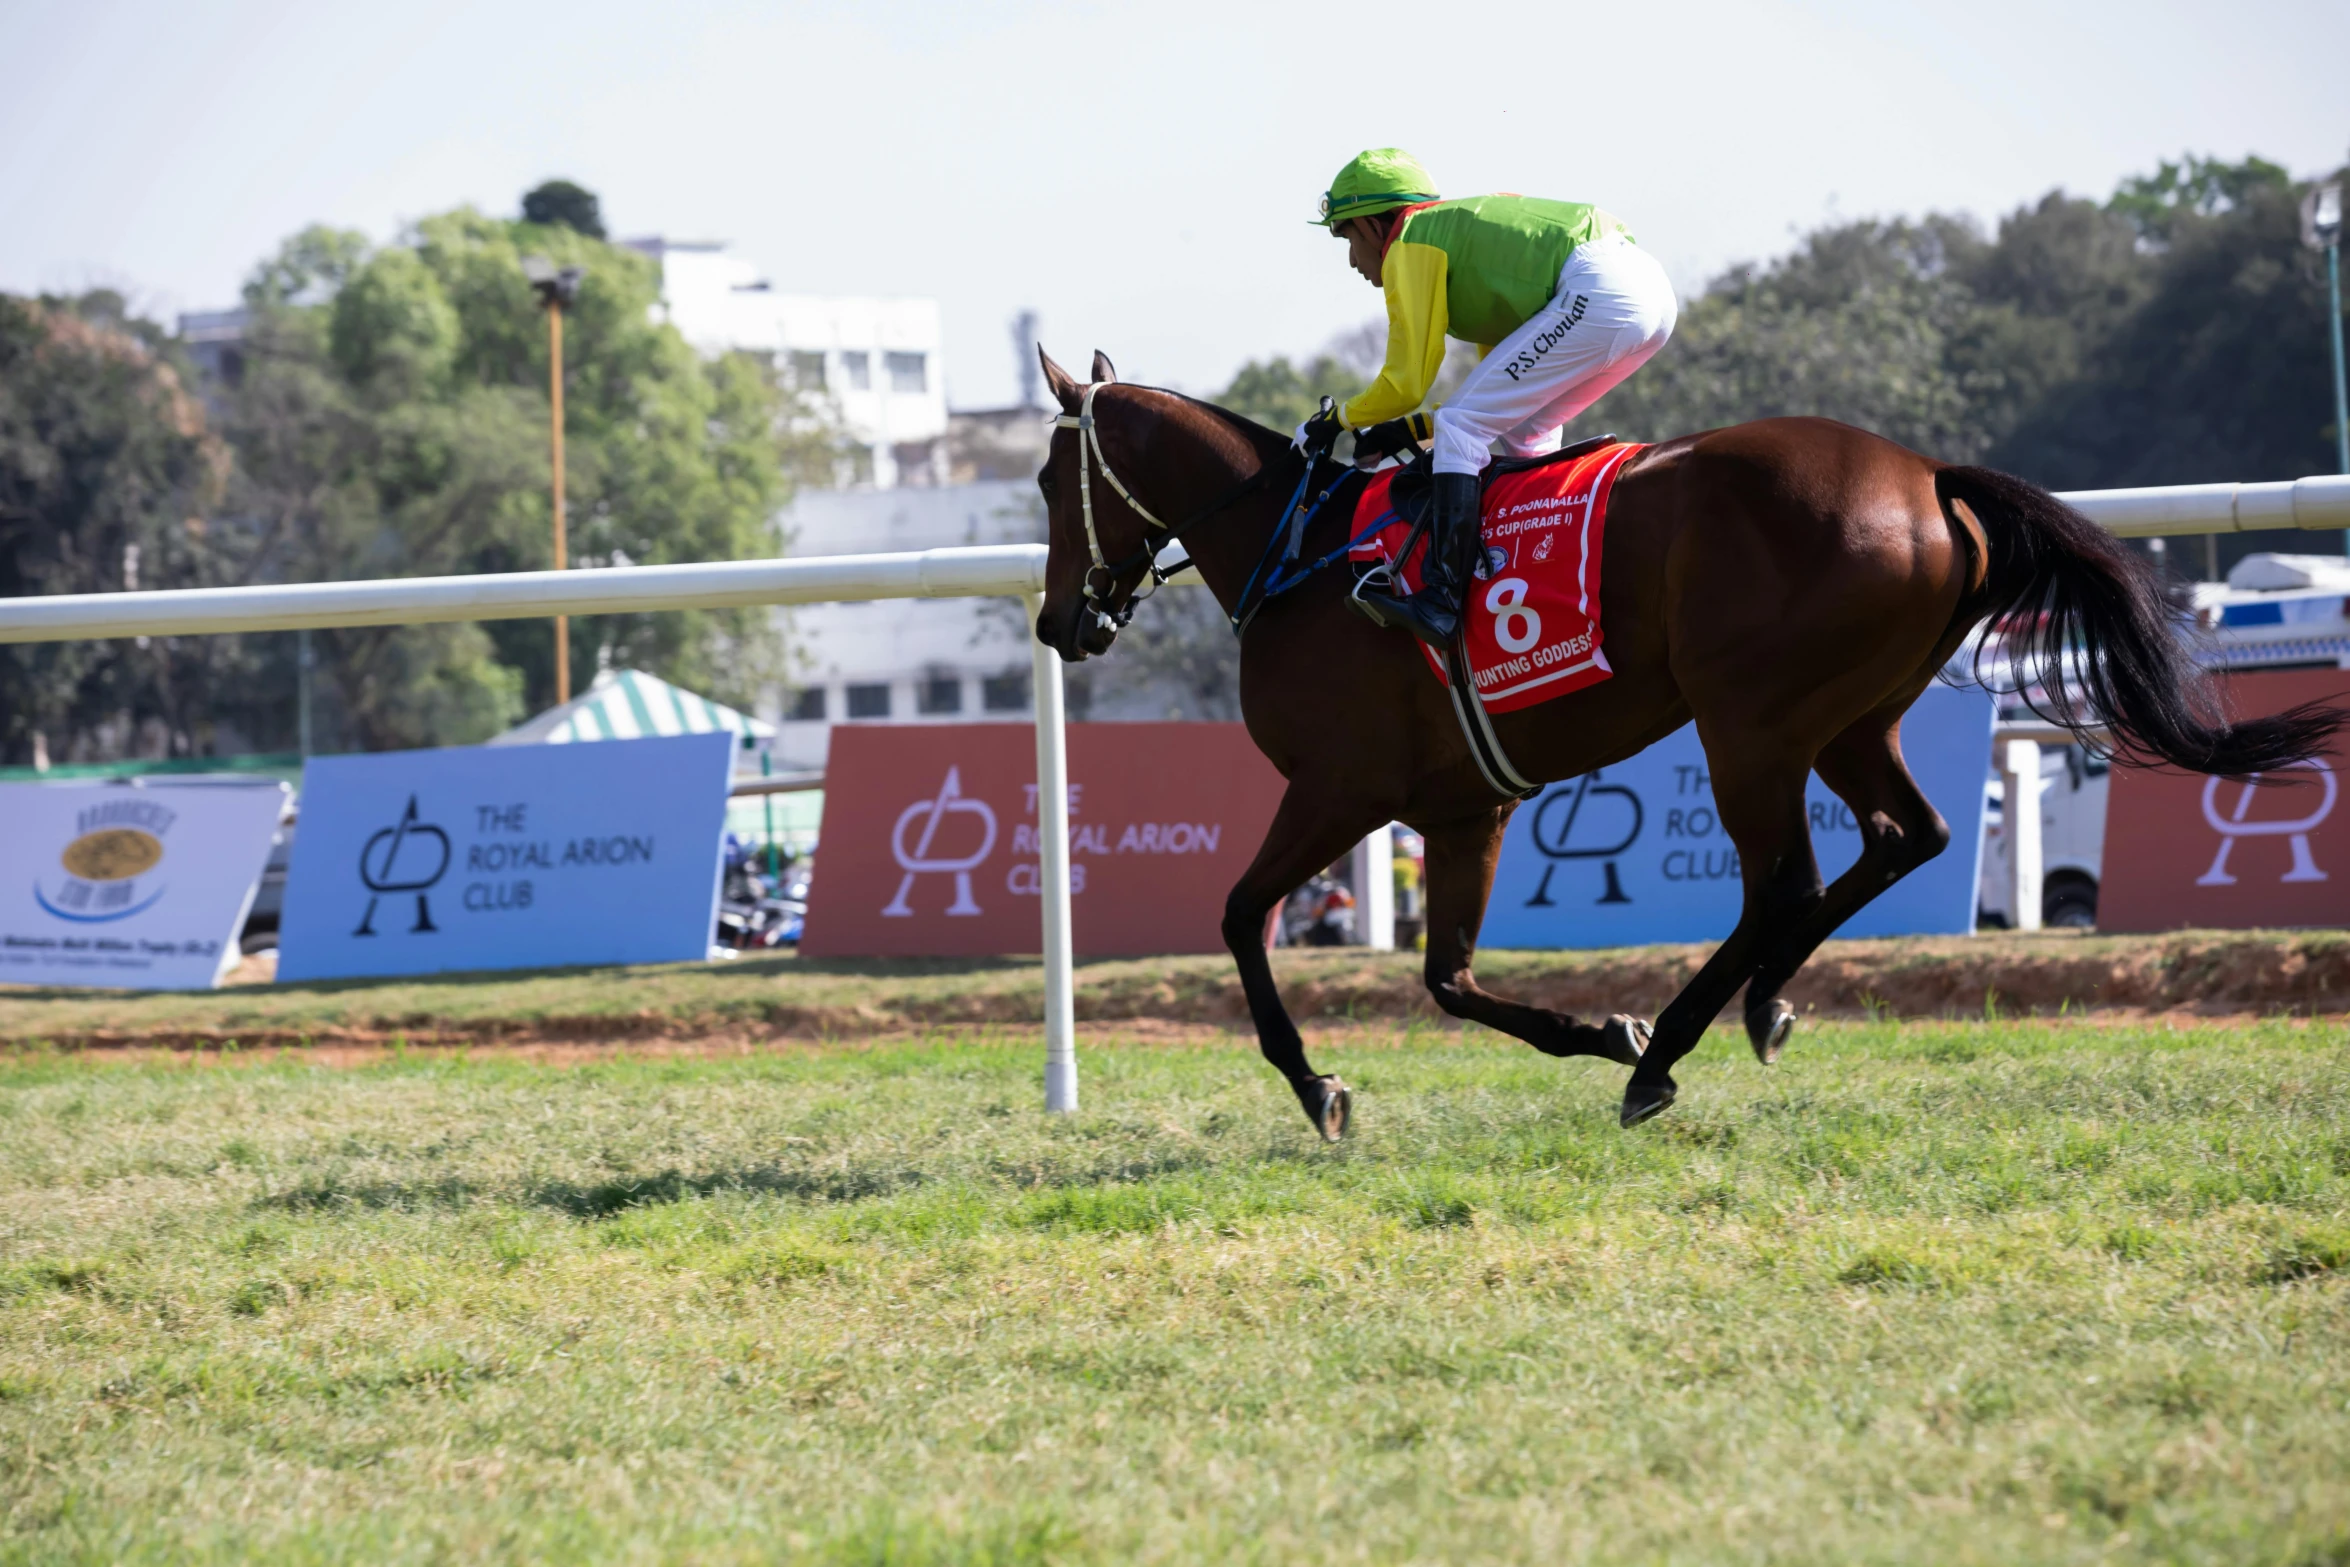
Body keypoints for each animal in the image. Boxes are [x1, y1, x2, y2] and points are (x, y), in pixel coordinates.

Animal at [1029, 350, 2331, 1141]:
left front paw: (1319, 1086)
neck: (1297, 551)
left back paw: (1674, 1047)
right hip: (1848, 714)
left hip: (1747, 718)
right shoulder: (1462, 806)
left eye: (1047, 478)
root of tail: (1924, 477)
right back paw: (1749, 1008)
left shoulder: (1339, 787)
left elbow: (1243, 917)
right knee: (1904, 836)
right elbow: (1448, 979)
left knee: (1787, 880)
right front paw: (1595, 1024)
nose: (1055, 623)